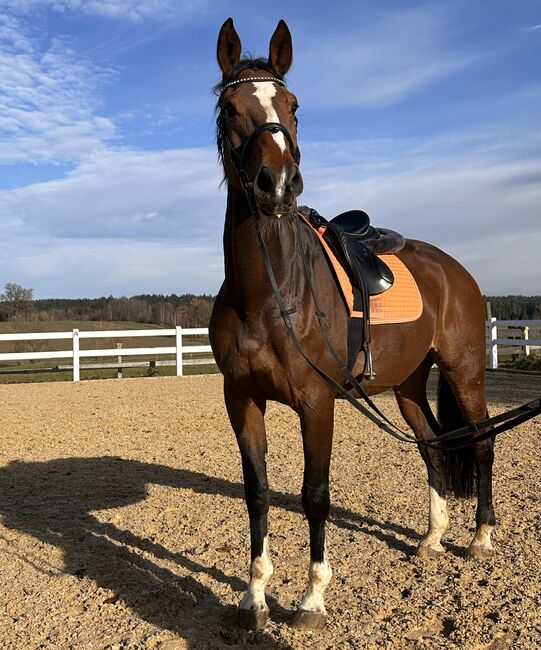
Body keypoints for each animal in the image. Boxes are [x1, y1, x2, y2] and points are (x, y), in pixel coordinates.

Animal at [209, 19, 496, 628]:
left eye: (294, 105)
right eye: (229, 109)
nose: (277, 184)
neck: (269, 294)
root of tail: (455, 271)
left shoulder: (317, 402)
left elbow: (315, 494)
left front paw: (312, 599)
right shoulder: (241, 398)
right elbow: (257, 492)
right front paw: (255, 596)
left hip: (464, 373)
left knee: (481, 444)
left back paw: (481, 538)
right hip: (408, 385)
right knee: (433, 447)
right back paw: (432, 540)